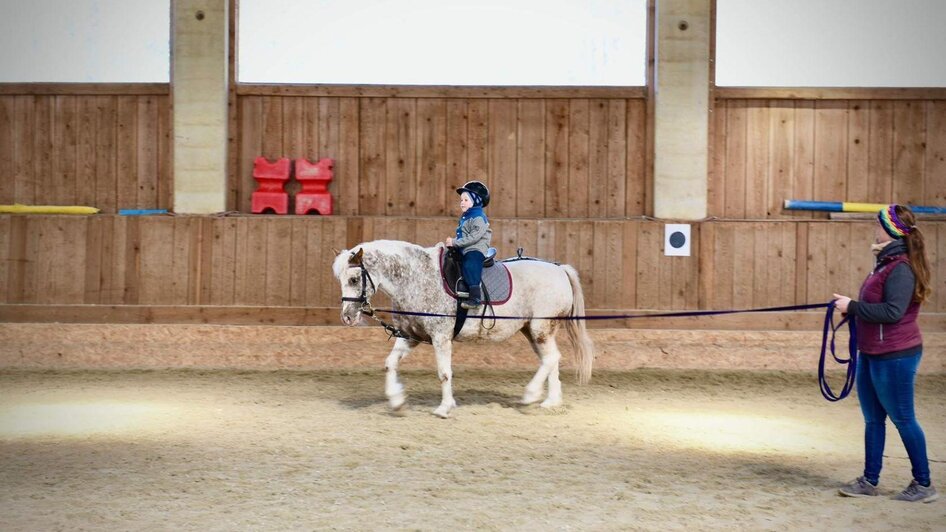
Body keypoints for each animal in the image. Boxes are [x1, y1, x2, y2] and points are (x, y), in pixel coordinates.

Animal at [332, 239, 592, 418]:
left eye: (354, 279)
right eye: (341, 280)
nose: (347, 317)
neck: (417, 279)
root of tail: (559, 269)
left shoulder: (440, 338)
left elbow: (444, 373)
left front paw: (444, 408)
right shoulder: (410, 337)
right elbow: (390, 364)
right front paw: (397, 401)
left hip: (540, 328)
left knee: (551, 358)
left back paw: (530, 396)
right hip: (535, 331)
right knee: (552, 359)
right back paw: (551, 402)